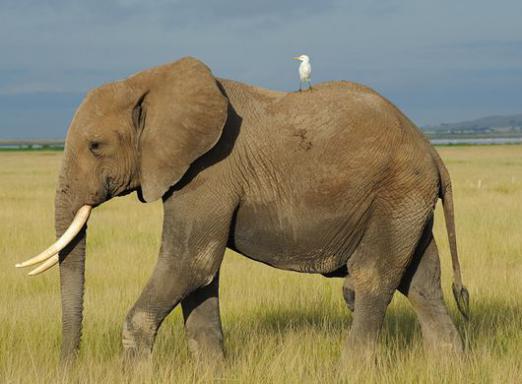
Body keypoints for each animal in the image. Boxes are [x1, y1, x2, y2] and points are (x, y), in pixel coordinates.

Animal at [18, 56, 470, 364]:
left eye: (96, 146)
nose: (68, 365)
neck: (149, 81)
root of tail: (432, 150)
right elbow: (200, 279)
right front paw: (213, 371)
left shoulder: (209, 171)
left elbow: (189, 264)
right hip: (407, 201)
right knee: (422, 282)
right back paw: (449, 366)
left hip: (397, 191)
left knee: (371, 280)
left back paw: (350, 370)